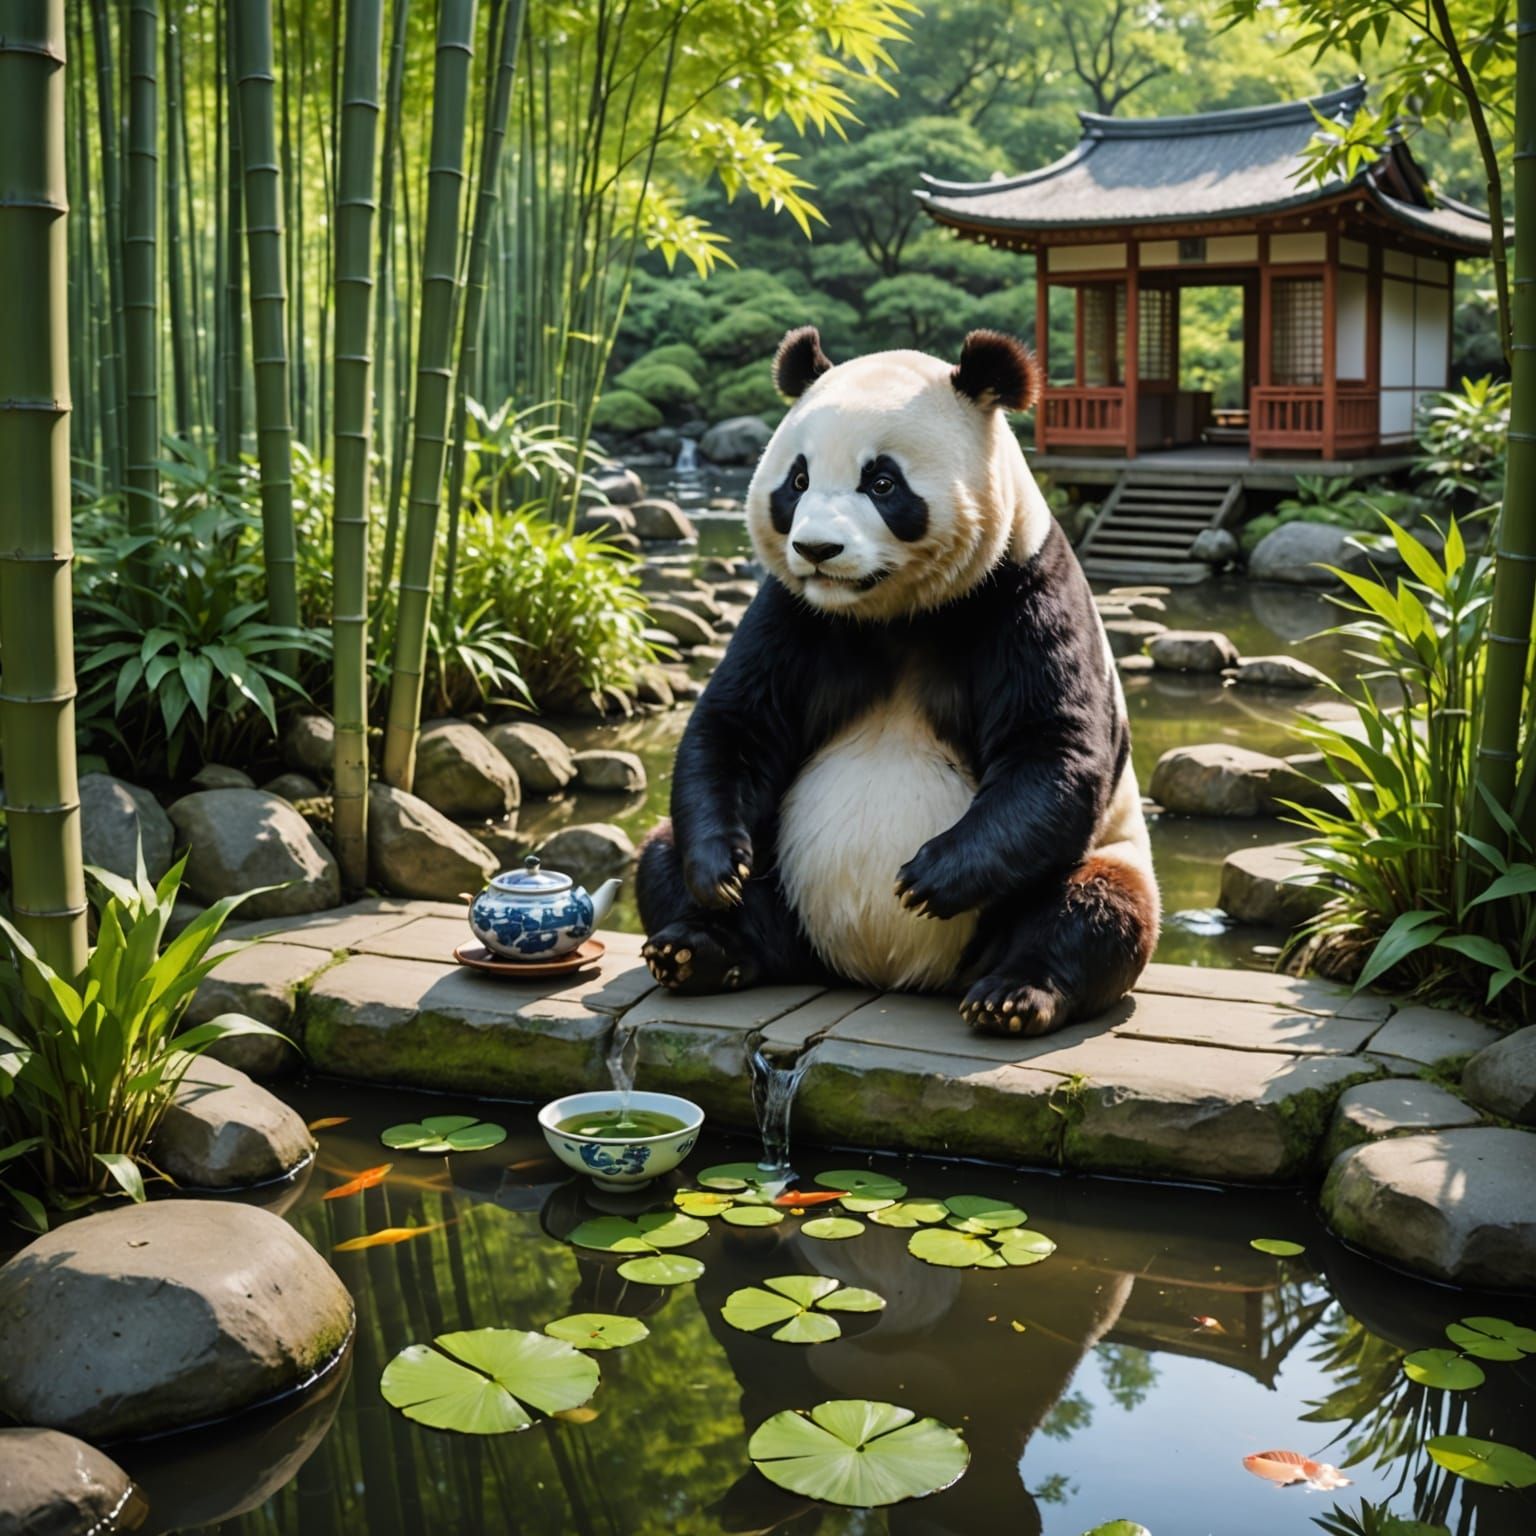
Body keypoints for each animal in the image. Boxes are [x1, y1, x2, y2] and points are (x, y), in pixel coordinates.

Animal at [635, 325, 1159, 1037]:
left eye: (882, 482)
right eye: (797, 480)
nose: (816, 550)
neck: (891, 613)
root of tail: (877, 972)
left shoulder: (1023, 589)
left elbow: (1052, 744)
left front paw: (927, 877)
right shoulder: (792, 614)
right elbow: (735, 723)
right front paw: (720, 871)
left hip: (1092, 864)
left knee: (1094, 905)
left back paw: (1013, 995)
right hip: (783, 887)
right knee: (663, 858)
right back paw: (702, 950)